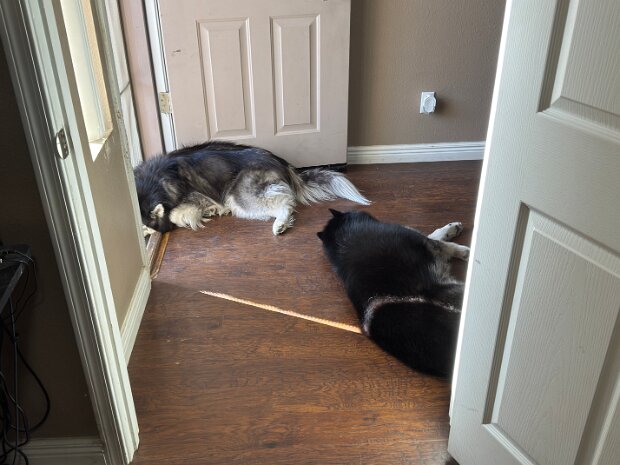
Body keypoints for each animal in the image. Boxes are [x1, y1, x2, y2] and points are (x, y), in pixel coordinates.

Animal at [134, 141, 370, 236]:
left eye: (143, 228)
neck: (154, 180)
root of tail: (282, 162)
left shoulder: (195, 195)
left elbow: (175, 214)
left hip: (241, 196)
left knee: (286, 202)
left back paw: (280, 224)